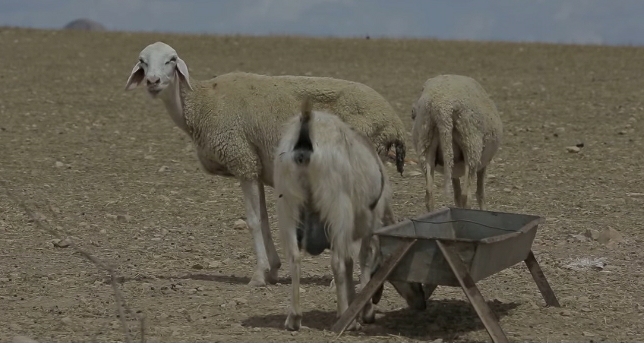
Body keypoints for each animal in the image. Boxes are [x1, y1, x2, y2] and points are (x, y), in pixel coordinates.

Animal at [122, 41, 408, 288]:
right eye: (142, 61)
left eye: (171, 60)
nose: (153, 82)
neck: (200, 104)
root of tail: (394, 122)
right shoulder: (254, 165)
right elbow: (264, 218)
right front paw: (273, 269)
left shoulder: (241, 160)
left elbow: (252, 221)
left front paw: (258, 274)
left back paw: (355, 278)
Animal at [274, 98, 426, 332]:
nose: (422, 303)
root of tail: (307, 126)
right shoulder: (371, 226)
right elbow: (363, 260)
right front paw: (364, 311)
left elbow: (349, 263)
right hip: (337, 206)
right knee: (336, 261)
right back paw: (344, 319)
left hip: (288, 205)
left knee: (294, 257)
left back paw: (294, 318)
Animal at [412, 75, 504, 212]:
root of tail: (442, 107)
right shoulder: (482, 163)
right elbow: (480, 194)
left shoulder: (453, 169)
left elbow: (457, 194)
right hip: (471, 146)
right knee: (467, 196)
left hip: (426, 142)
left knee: (429, 194)